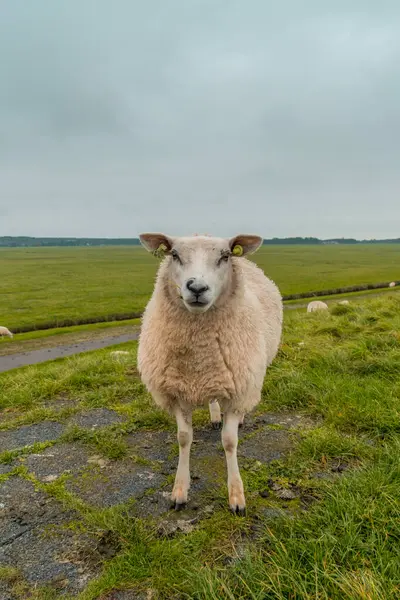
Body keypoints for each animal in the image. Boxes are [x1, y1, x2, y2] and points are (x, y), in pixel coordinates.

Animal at [138, 232, 282, 512]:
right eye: (174, 255)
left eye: (224, 256)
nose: (196, 288)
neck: (199, 355)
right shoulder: (178, 392)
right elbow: (184, 438)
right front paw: (179, 490)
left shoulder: (237, 390)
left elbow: (230, 442)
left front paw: (236, 495)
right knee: (213, 399)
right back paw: (215, 415)